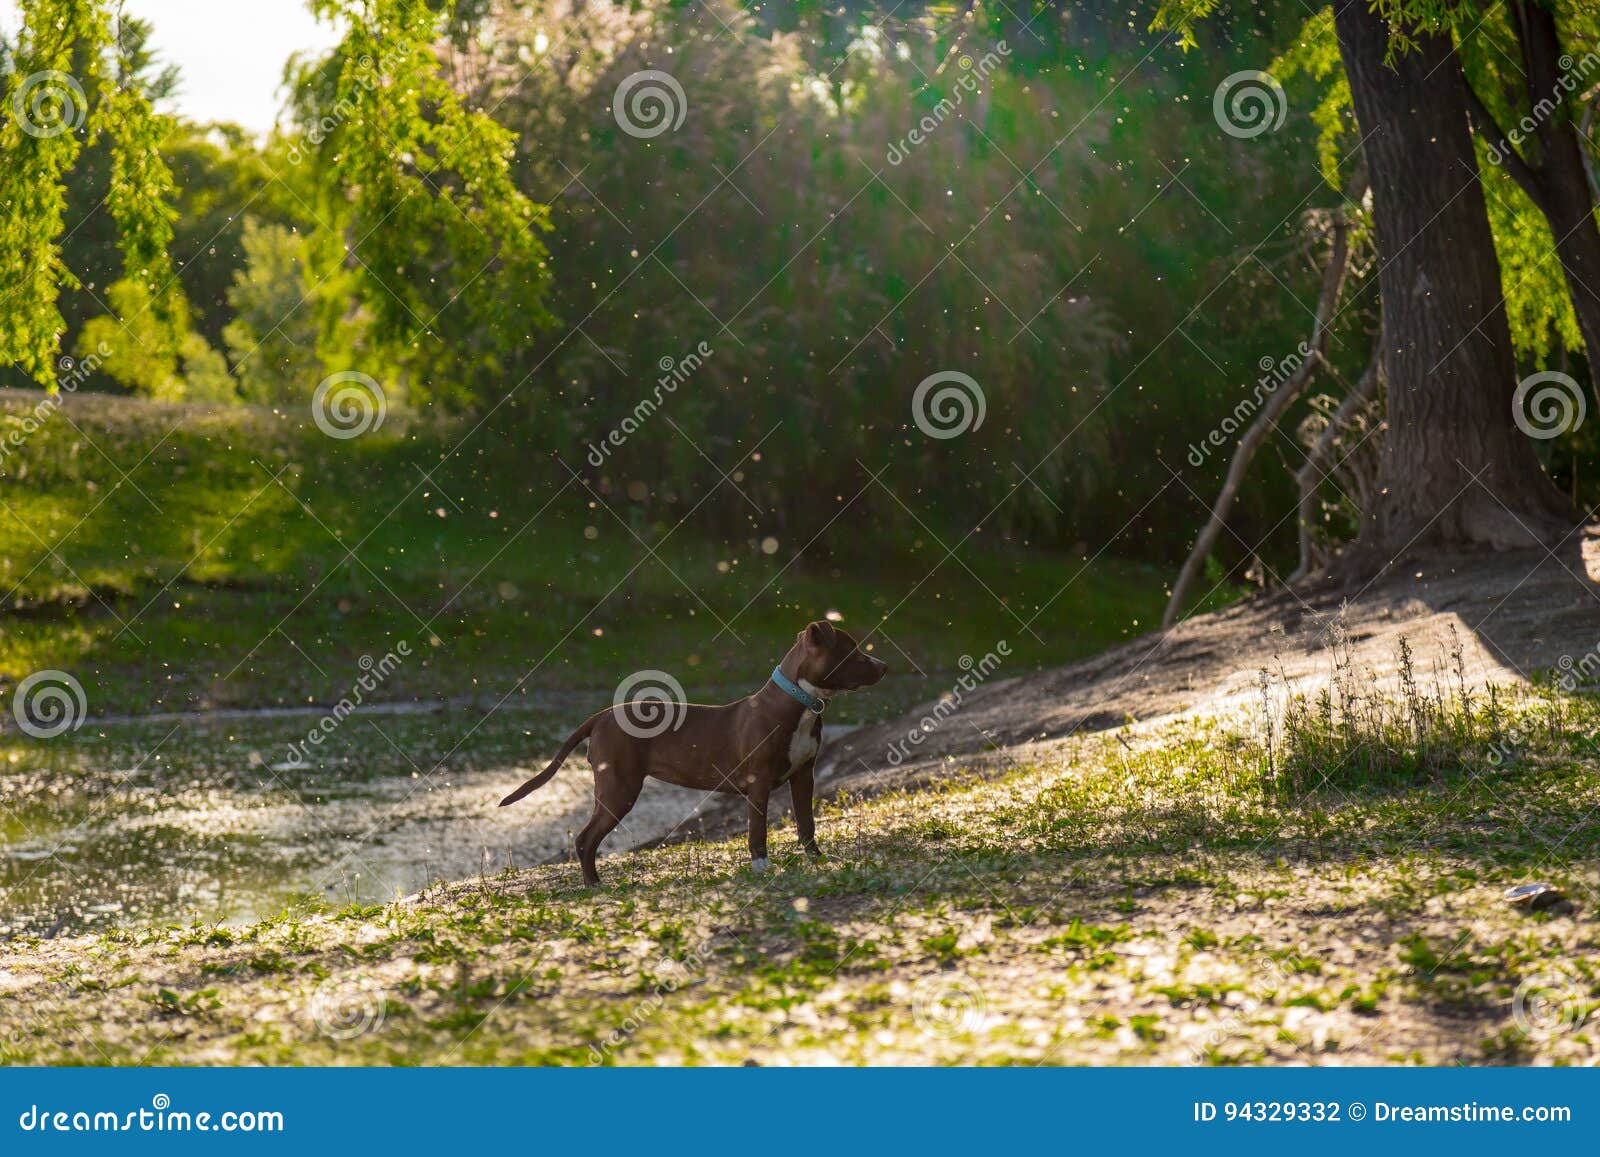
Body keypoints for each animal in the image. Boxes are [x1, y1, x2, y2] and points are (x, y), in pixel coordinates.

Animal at [499, 624, 889, 889]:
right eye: (852, 650)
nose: (884, 666)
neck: (799, 703)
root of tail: (601, 716)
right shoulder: (759, 783)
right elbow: (758, 830)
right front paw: (762, 868)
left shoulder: (803, 775)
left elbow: (807, 823)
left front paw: (817, 861)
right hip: (619, 787)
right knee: (585, 839)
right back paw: (594, 885)